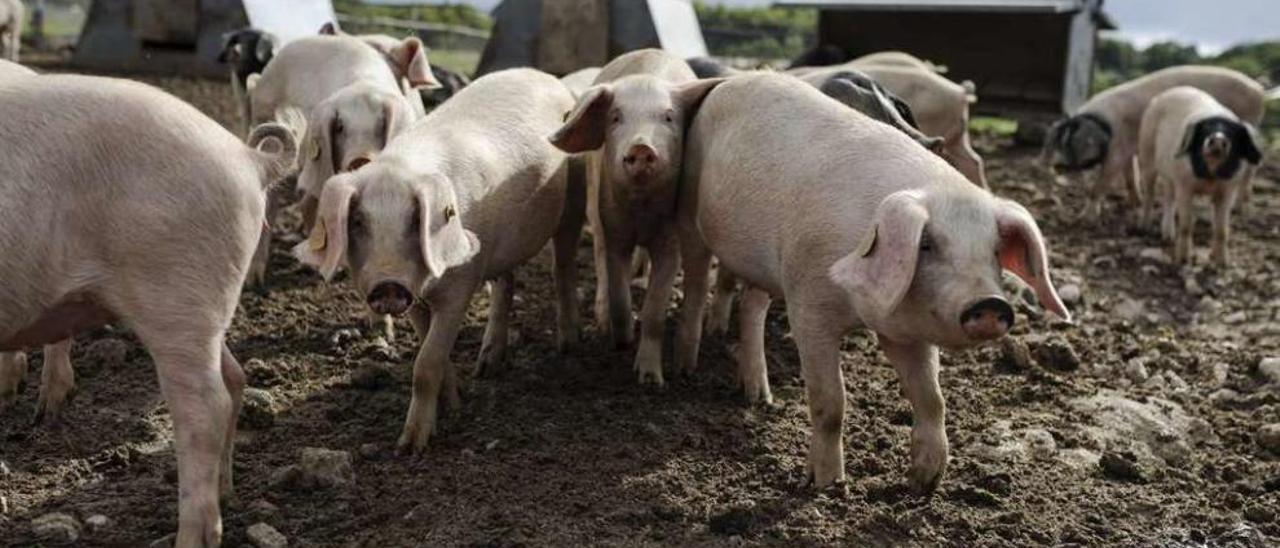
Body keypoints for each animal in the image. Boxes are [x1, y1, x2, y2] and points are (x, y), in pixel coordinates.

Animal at [0, 72, 296, 542]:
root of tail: (248, 158)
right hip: (203, 307)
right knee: (234, 379)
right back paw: (228, 494)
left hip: (177, 293)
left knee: (205, 408)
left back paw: (189, 538)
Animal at [294, 68, 581, 453]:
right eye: (358, 222)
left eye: (416, 220)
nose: (388, 284)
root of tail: (546, 76)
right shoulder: (414, 297)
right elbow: (428, 351)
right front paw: (453, 404)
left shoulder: (461, 285)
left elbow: (426, 363)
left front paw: (411, 445)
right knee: (505, 283)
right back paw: (487, 367)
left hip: (573, 197)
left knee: (563, 266)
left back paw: (568, 345)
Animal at [675, 73, 1075, 491]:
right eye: (926, 245)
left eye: (995, 250)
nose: (990, 304)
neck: (859, 310)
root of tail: (730, 80)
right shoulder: (808, 306)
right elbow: (831, 401)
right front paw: (829, 485)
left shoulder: (904, 331)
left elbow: (932, 398)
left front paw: (924, 482)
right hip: (688, 207)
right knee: (696, 279)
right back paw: (684, 368)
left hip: (762, 264)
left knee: (752, 307)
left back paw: (758, 398)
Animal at [1044, 67, 1264, 221]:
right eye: (1063, 141)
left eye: (1078, 140)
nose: (1060, 166)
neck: (1106, 125)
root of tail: (1260, 90)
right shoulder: (1129, 149)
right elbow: (1130, 177)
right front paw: (1135, 203)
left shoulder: (1117, 149)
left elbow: (1100, 185)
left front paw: (1084, 219)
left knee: (1249, 171)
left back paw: (1240, 210)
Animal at [1136, 85, 1264, 265]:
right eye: (1206, 130)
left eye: (1232, 133)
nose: (1217, 138)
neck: (1210, 176)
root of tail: (1164, 94)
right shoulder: (1184, 184)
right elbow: (1186, 224)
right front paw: (1183, 260)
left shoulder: (1228, 189)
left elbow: (1222, 229)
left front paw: (1222, 263)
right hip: (1146, 151)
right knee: (1150, 193)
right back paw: (1144, 228)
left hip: (1170, 174)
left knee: (1168, 198)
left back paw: (1168, 237)